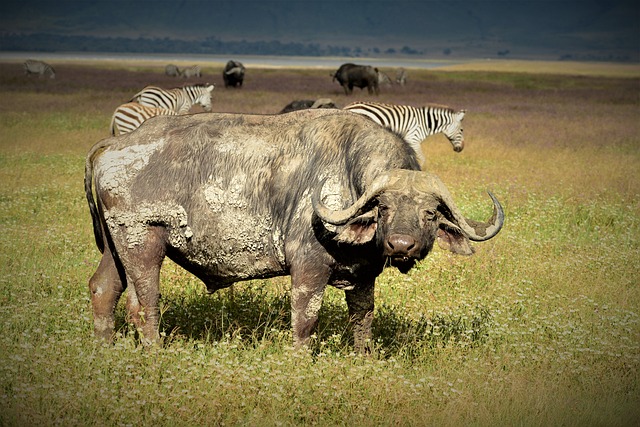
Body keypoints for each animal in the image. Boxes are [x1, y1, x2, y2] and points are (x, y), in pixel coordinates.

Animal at [86, 108, 504, 352]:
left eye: (430, 213)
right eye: (383, 207)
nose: (401, 245)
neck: (348, 177)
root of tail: (113, 145)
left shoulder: (364, 276)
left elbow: (363, 319)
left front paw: (363, 357)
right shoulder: (308, 269)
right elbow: (306, 319)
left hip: (115, 250)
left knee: (104, 289)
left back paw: (107, 348)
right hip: (143, 243)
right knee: (144, 302)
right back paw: (155, 352)